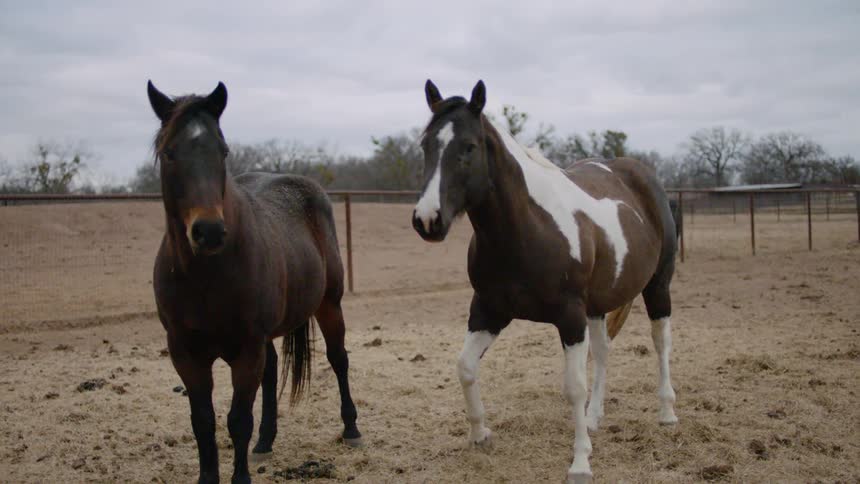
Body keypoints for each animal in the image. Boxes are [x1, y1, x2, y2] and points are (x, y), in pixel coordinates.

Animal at [146, 81, 362, 484]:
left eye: (223, 151)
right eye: (169, 153)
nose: (209, 231)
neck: (205, 278)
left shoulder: (246, 349)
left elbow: (237, 421)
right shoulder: (186, 353)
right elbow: (203, 423)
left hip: (330, 304)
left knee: (338, 359)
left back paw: (352, 429)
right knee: (273, 368)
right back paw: (265, 440)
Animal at [411, 80, 679, 483]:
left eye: (469, 147)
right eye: (425, 145)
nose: (428, 220)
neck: (527, 228)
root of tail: (639, 173)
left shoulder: (569, 317)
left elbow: (574, 387)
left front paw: (581, 461)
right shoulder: (488, 311)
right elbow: (465, 368)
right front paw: (480, 434)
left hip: (657, 289)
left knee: (660, 344)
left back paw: (666, 412)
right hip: (598, 306)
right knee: (603, 351)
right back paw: (595, 417)